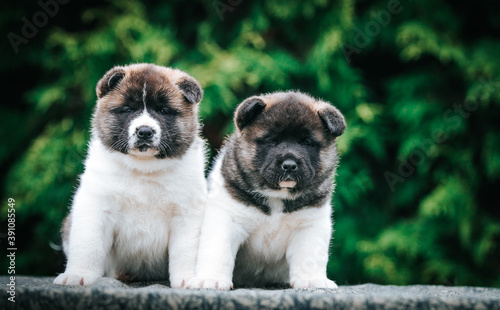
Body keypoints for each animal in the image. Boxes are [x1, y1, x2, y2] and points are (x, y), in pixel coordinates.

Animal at [52, 63, 205, 288]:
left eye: (164, 111)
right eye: (127, 110)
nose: (145, 131)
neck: (142, 168)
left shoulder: (187, 214)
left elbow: (187, 251)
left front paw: (189, 279)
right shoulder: (96, 207)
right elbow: (88, 245)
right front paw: (77, 275)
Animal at [186, 91, 346, 290]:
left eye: (307, 143)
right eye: (272, 141)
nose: (290, 165)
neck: (277, 196)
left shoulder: (310, 225)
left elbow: (309, 256)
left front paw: (311, 280)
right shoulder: (226, 218)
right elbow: (217, 250)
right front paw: (211, 278)